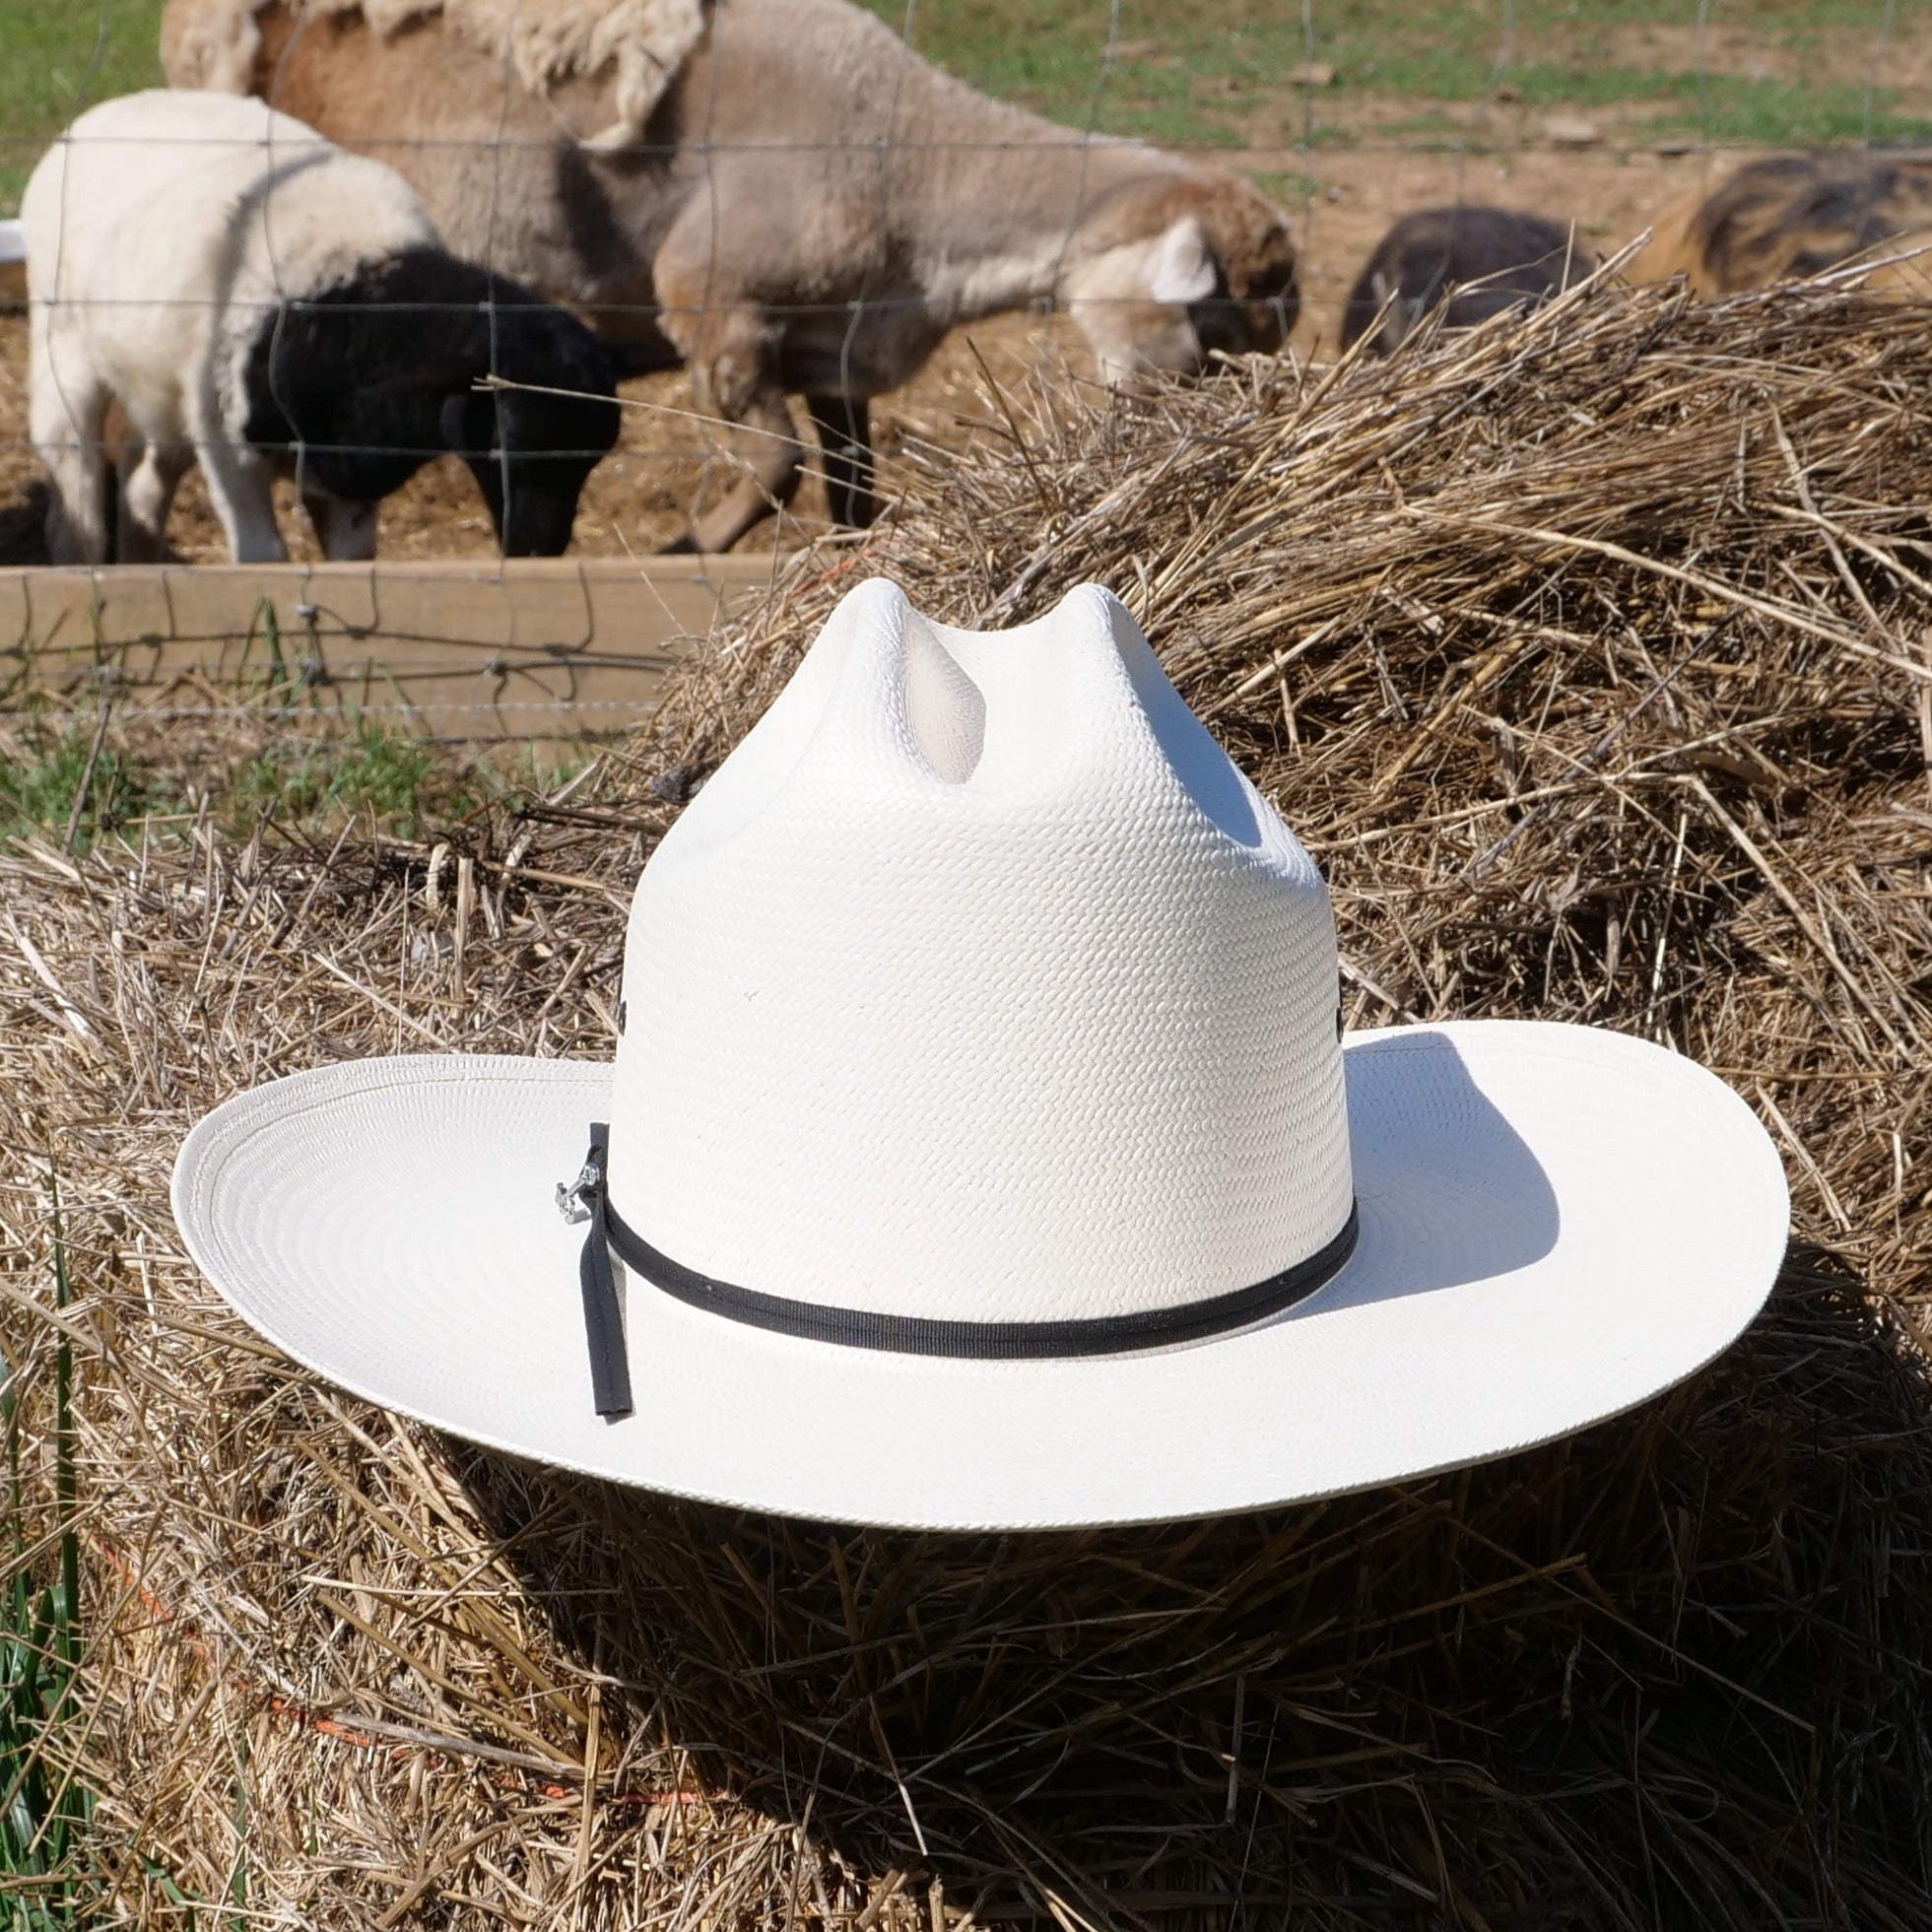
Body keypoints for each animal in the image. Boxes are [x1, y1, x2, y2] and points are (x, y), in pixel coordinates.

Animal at [28, 88, 618, 564]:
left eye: (593, 459)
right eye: (507, 438)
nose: (536, 549)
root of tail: (110, 108)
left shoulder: (348, 467)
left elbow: (352, 559)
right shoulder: (228, 445)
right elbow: (263, 553)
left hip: (160, 399)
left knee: (142, 489)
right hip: (64, 353)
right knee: (74, 502)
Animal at [162, 0, 1298, 552]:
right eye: (1212, 328)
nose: (1196, 447)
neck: (914, 170)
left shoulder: (834, 350)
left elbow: (852, 494)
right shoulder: (719, 313)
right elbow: (775, 467)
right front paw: (684, 552)